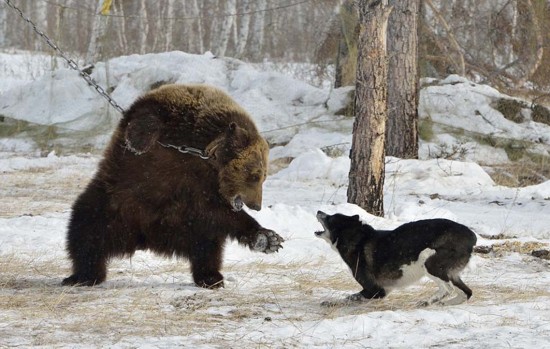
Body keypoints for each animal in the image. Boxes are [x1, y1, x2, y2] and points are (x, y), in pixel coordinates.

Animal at [62, 83, 284, 286]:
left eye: (264, 176)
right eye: (254, 175)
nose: (257, 205)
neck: (203, 152)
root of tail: (146, 239)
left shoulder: (201, 187)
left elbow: (220, 212)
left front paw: (267, 238)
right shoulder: (170, 117)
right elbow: (148, 118)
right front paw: (138, 142)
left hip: (189, 225)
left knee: (209, 246)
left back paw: (211, 276)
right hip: (114, 201)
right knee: (86, 228)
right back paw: (82, 276)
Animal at [314, 209, 478, 304]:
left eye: (331, 218)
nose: (319, 210)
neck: (357, 238)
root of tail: (471, 236)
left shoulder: (375, 290)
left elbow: (349, 298)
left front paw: (330, 302)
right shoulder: (385, 290)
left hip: (428, 261)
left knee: (449, 289)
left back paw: (429, 301)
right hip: (451, 273)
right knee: (466, 293)